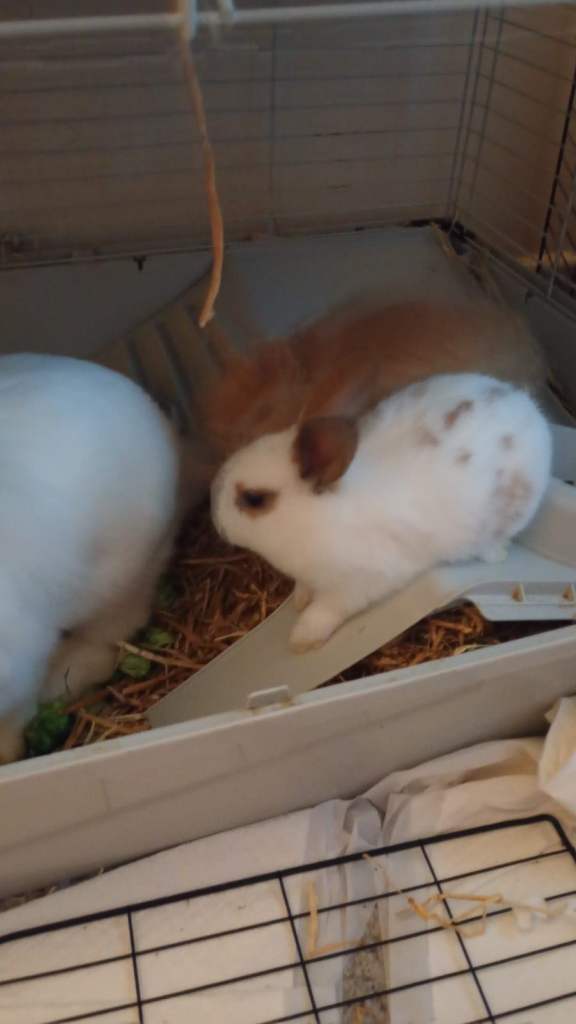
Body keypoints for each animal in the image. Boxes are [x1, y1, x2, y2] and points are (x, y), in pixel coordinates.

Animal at [211, 373, 552, 653]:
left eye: (254, 499)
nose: (215, 518)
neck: (315, 516)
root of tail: (528, 407)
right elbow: (304, 590)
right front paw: (298, 600)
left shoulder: (357, 584)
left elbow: (326, 610)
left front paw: (302, 638)